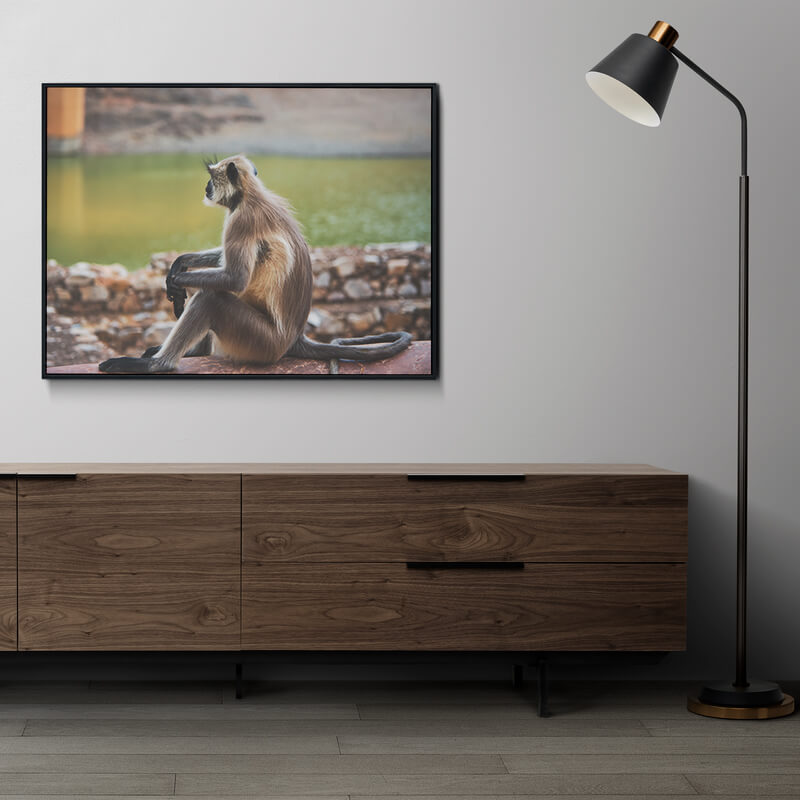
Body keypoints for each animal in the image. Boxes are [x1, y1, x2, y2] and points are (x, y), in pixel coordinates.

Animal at [98, 155, 412, 374]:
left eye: (212, 178)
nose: (206, 187)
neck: (250, 195)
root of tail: (294, 338)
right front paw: (179, 263)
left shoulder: (241, 220)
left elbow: (235, 278)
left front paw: (174, 281)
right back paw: (193, 353)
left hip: (260, 342)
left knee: (211, 297)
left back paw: (159, 363)